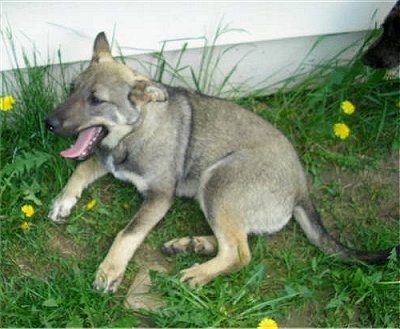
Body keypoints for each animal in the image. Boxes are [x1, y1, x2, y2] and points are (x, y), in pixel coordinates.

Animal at [45, 31, 398, 292]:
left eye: (96, 100)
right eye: (72, 88)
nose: (48, 123)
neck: (134, 130)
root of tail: (301, 189)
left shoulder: (159, 196)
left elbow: (127, 233)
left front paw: (110, 270)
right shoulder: (105, 160)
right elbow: (81, 168)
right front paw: (63, 201)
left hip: (217, 179)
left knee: (240, 253)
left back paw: (198, 272)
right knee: (237, 241)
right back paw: (194, 245)